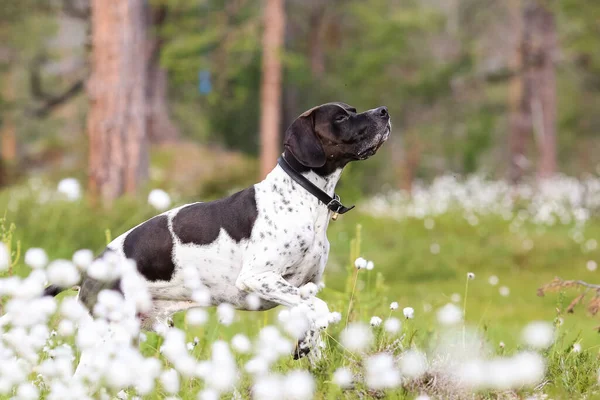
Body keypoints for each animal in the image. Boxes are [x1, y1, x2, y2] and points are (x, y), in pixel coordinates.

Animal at [45, 101, 390, 358]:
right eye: (341, 117)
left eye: (353, 109)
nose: (384, 111)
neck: (302, 195)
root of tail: (89, 269)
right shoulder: (259, 277)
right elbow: (319, 308)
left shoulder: (304, 287)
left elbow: (312, 329)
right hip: (107, 336)